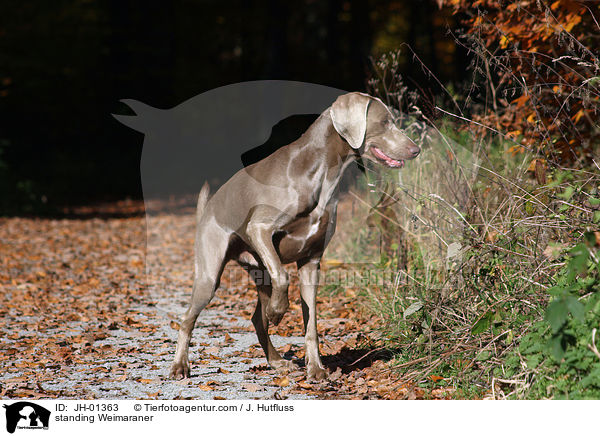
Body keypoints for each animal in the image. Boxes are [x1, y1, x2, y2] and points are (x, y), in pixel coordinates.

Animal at [170, 93, 422, 382]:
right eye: (385, 122)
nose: (416, 150)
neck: (321, 173)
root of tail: (207, 209)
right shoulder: (260, 228)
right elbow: (283, 276)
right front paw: (278, 312)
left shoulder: (311, 261)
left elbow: (311, 323)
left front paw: (316, 369)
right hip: (210, 273)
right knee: (188, 317)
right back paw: (180, 366)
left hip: (258, 269)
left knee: (257, 319)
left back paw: (277, 361)